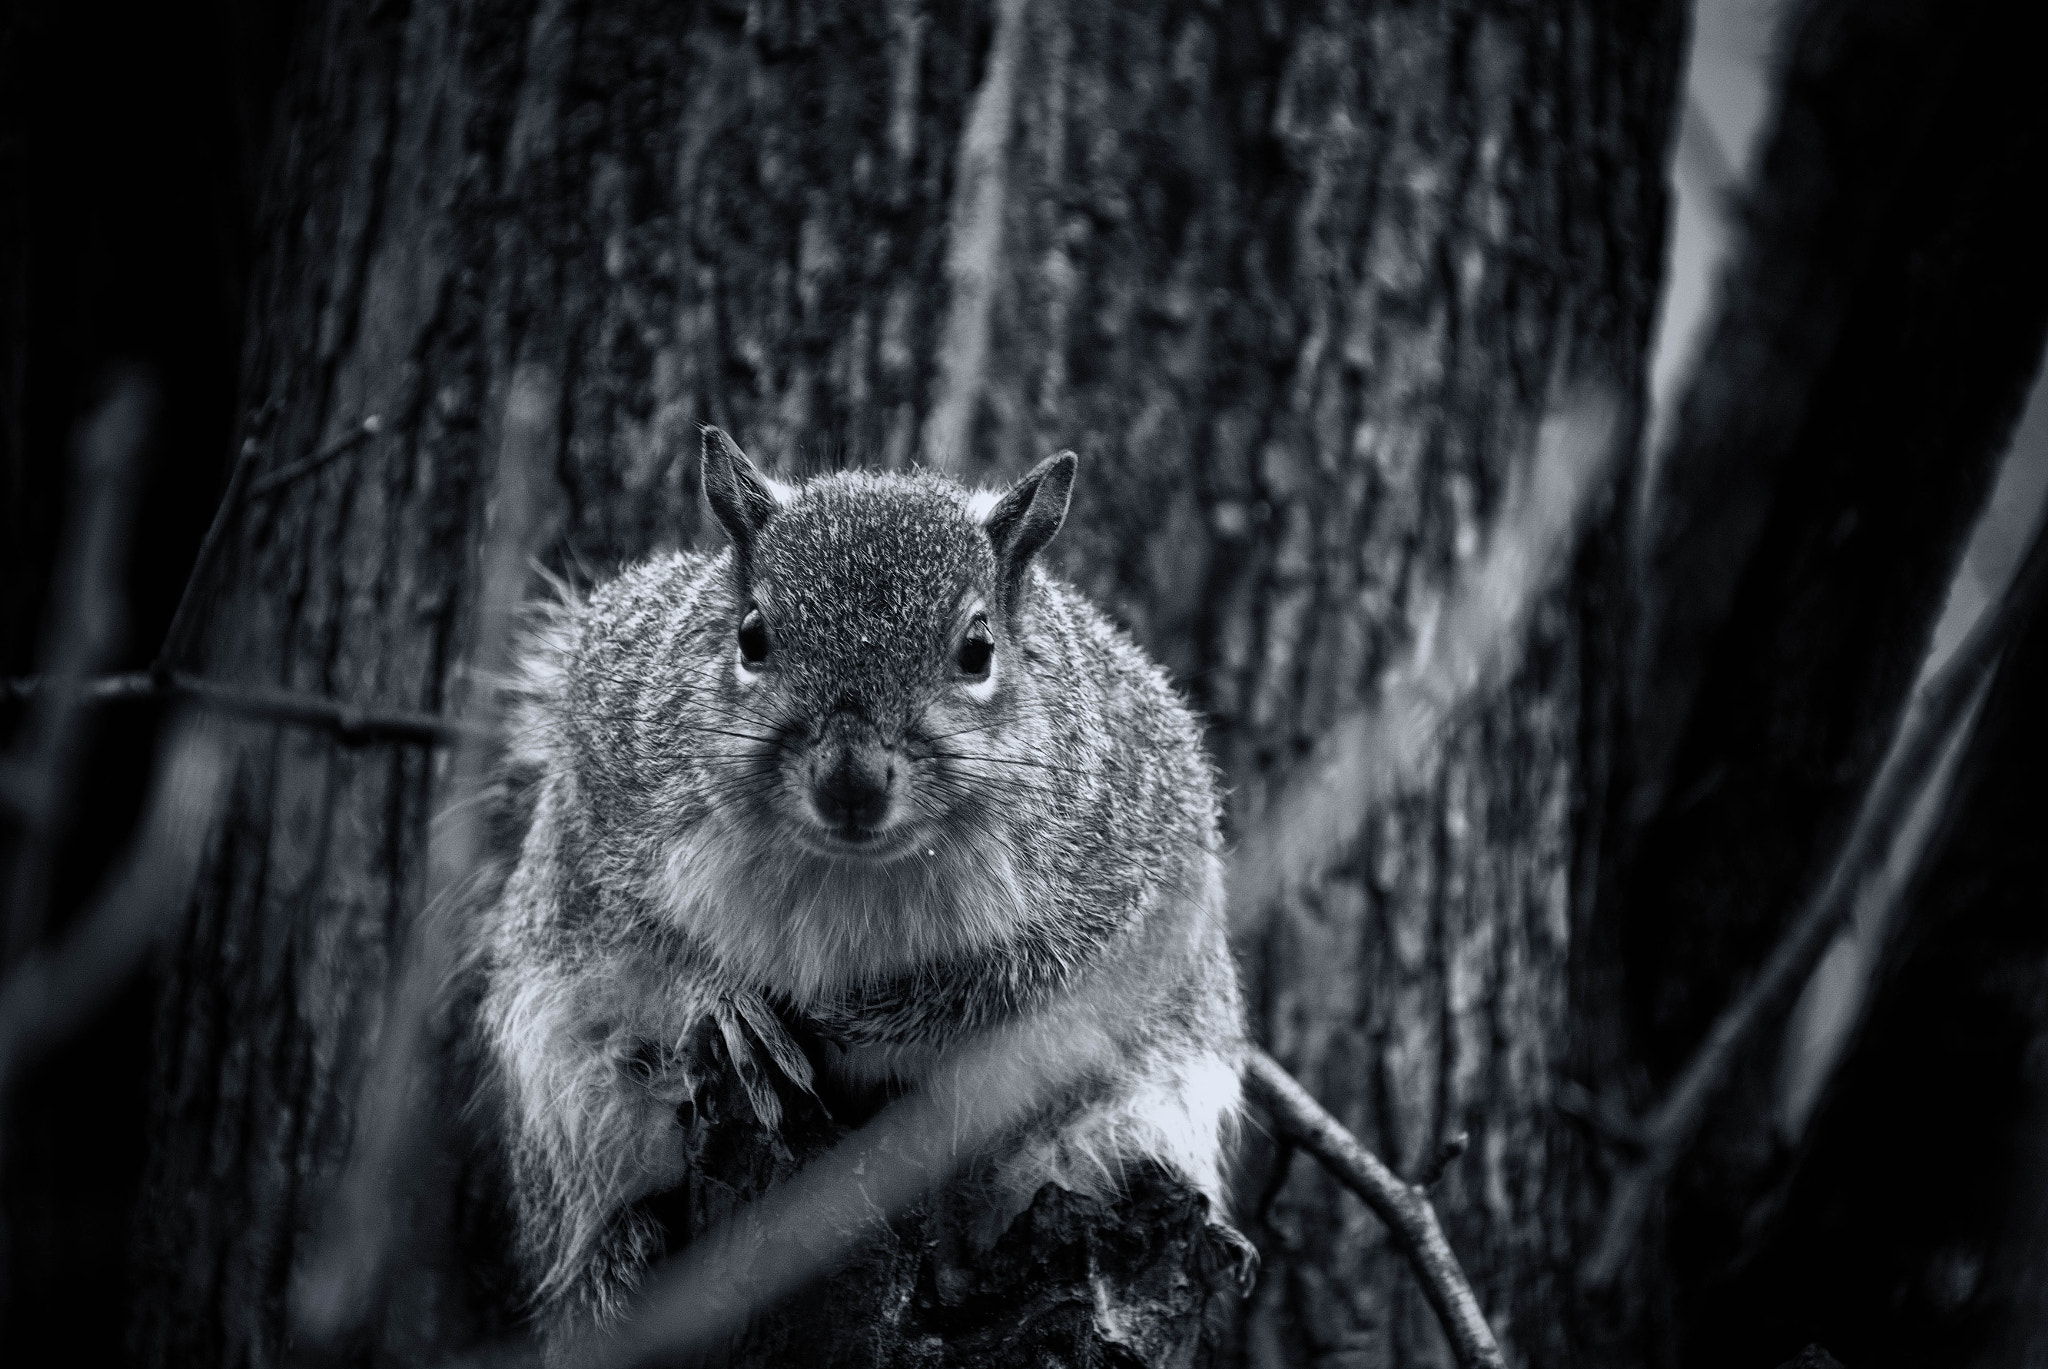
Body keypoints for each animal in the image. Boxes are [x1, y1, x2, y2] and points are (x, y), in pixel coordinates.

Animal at [475, 430, 1245, 1344]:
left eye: (978, 650)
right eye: (752, 635)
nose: (851, 781)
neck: (850, 870)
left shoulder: (1119, 881)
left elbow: (1007, 988)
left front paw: (859, 1015)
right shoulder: (602, 791)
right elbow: (647, 943)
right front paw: (727, 1006)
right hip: (570, 1101)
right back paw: (611, 1255)